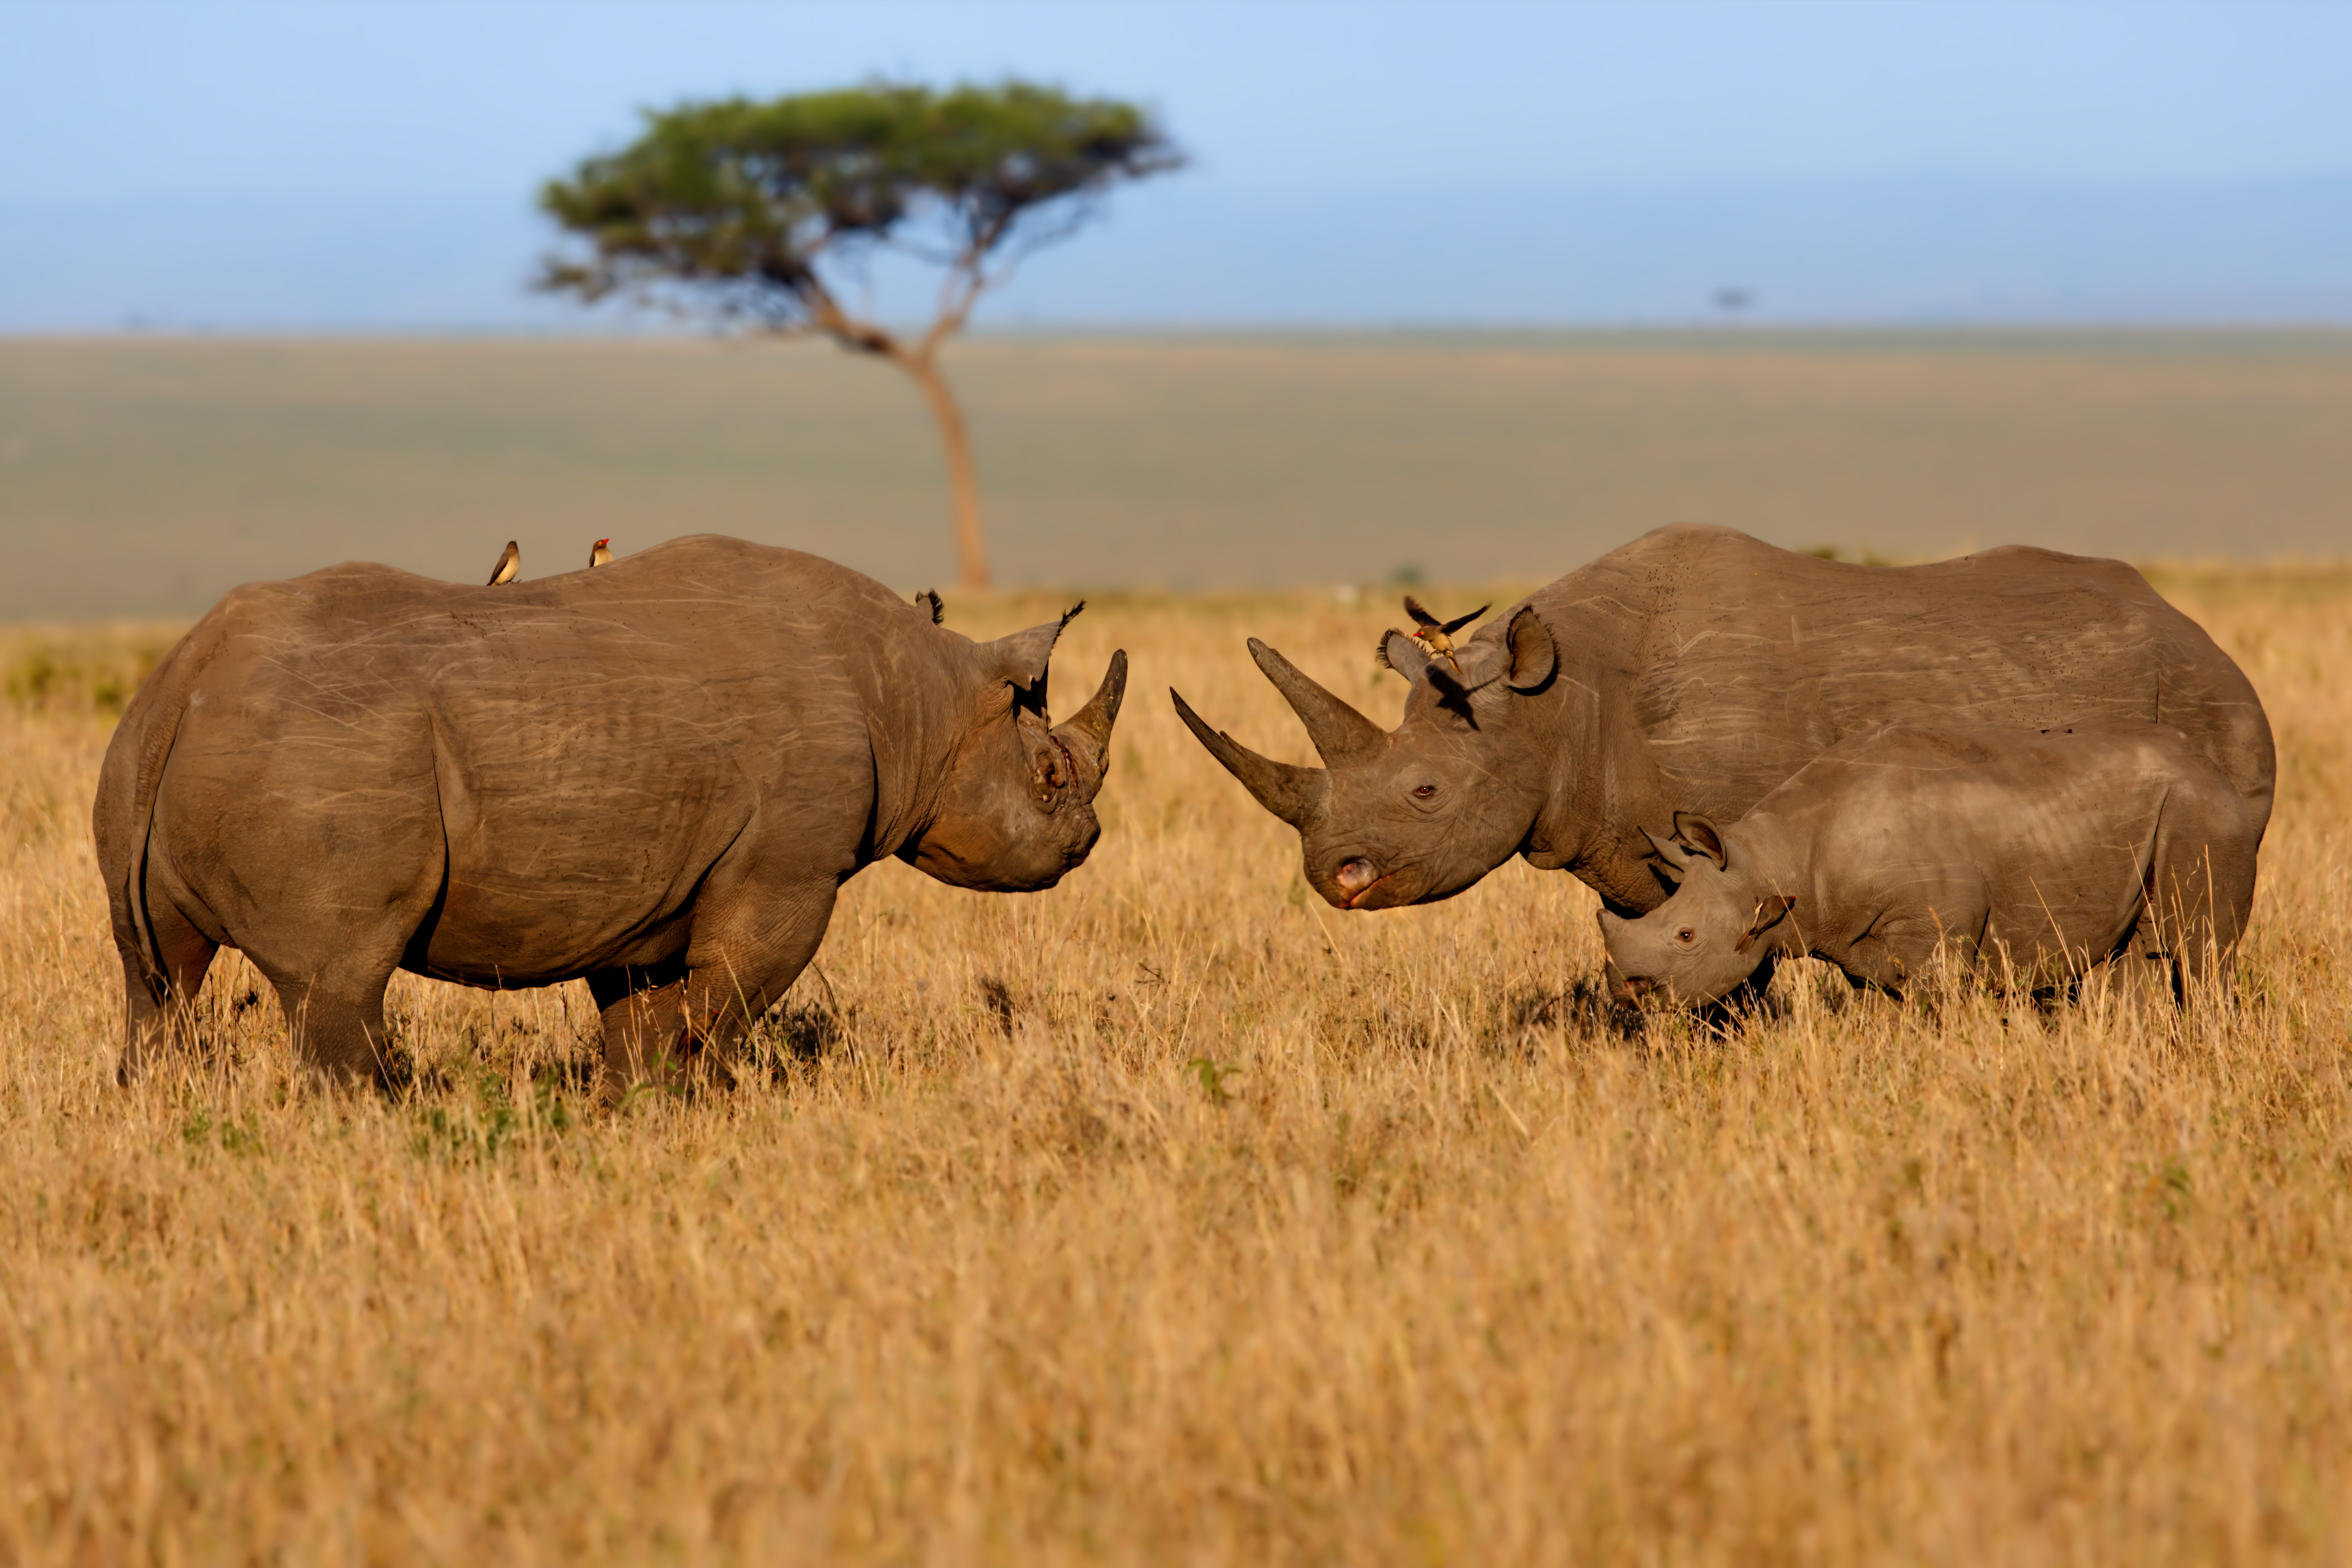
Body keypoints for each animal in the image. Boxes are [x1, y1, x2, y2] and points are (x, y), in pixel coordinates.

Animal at [93, 535, 1127, 1093]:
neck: (925, 697)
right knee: (338, 982)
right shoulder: (789, 867)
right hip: (325, 757)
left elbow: (642, 1012)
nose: (1086, 843)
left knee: (160, 983)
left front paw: (632, 1108)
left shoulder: (652, 879)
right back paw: (391, 1115)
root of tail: (184, 677)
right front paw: (695, 1094)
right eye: (1049, 775)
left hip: (150, 752)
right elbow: (722, 1002)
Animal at [1173, 525, 2273, 919]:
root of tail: (2202, 632)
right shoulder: (1610, 835)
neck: (1555, 703)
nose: (1332, 878)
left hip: (2212, 706)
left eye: (1426, 790)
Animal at [1596, 724, 2262, 1006]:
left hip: (2205, 814)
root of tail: (2218, 772)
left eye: (1686, 936)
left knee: (2202, 955)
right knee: (2137, 958)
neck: (1768, 862)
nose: (1628, 996)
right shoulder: (1859, 943)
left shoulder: (1936, 936)